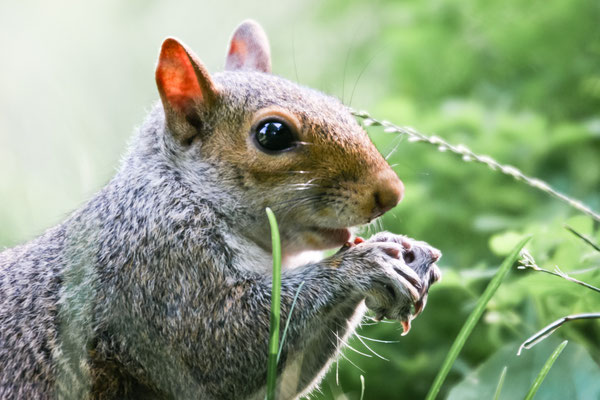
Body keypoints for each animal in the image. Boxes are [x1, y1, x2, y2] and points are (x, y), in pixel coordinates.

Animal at [0, 19, 440, 400]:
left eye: (335, 104)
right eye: (273, 134)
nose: (391, 193)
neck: (189, 193)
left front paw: (408, 251)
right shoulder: (160, 269)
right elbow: (221, 344)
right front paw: (366, 265)